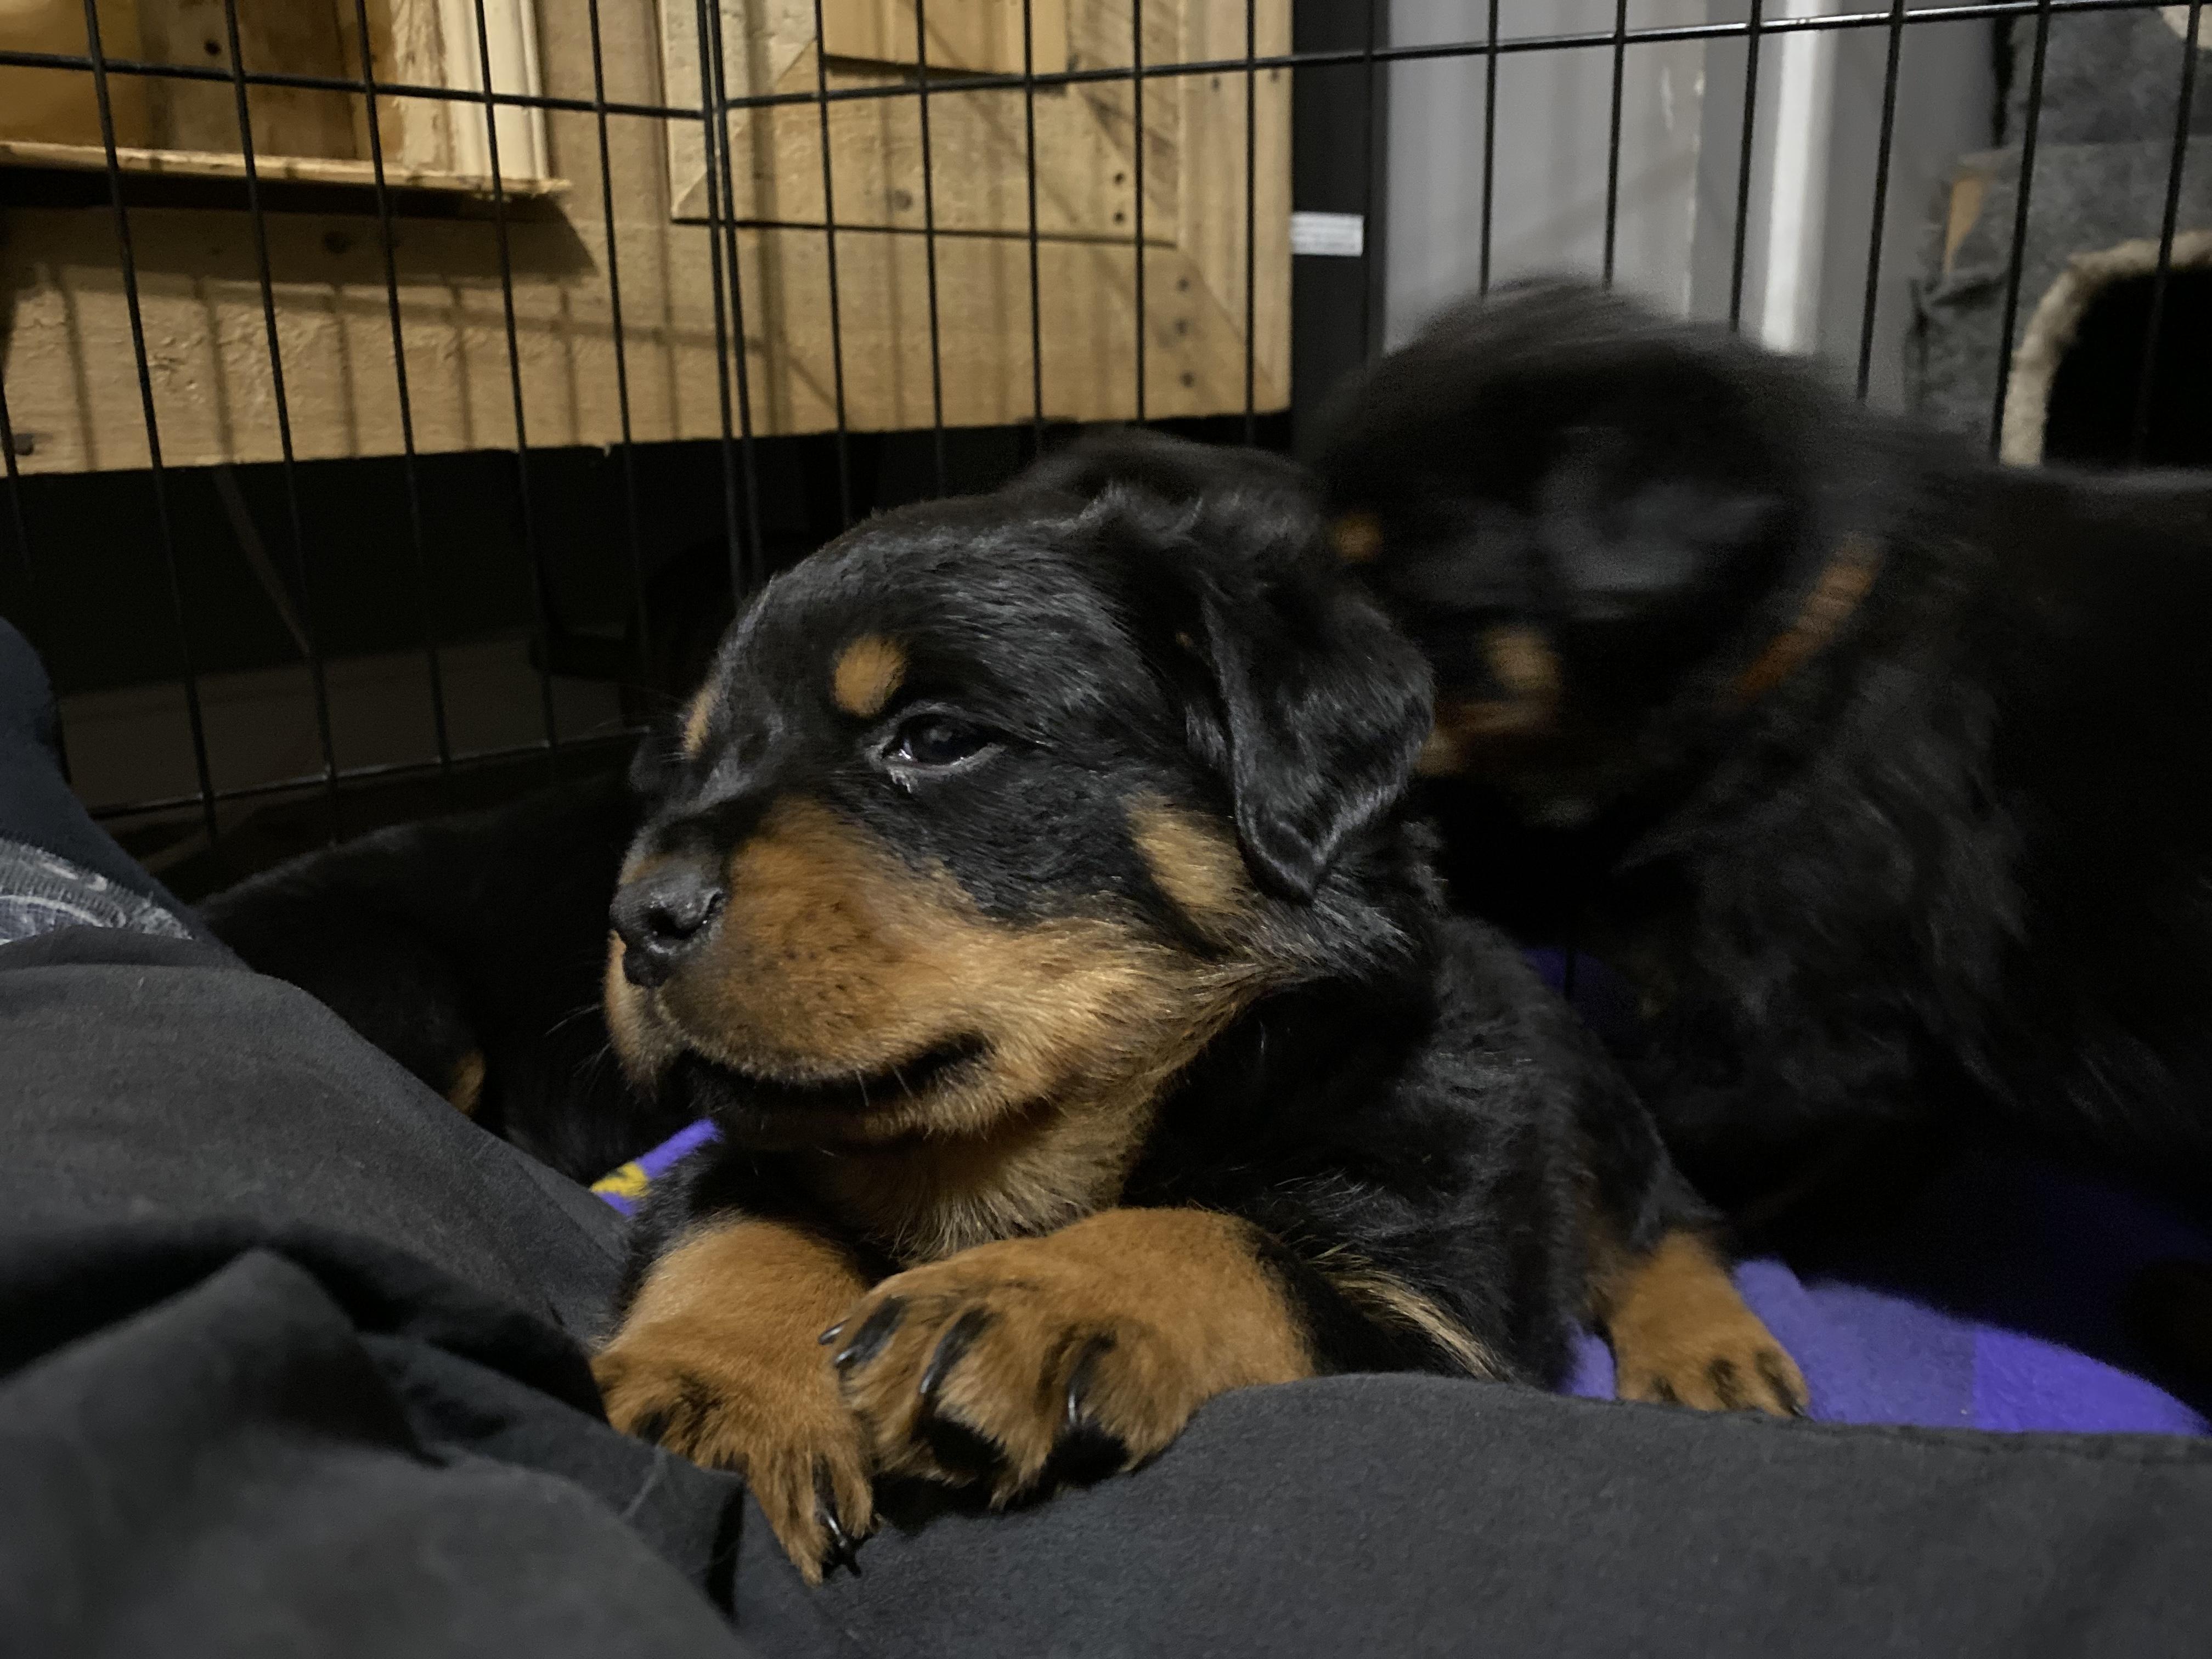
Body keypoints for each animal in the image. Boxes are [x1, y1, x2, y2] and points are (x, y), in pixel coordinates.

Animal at [588, 473, 1805, 1584]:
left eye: (934, 739)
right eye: (691, 768)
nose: (642, 916)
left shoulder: (1442, 1312)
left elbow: (1235, 1243)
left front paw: (1040, 1293)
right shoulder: (752, 1140)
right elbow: (735, 1208)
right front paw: (720, 1393)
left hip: (1579, 1095)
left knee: (1662, 1220)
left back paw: (1716, 1352)